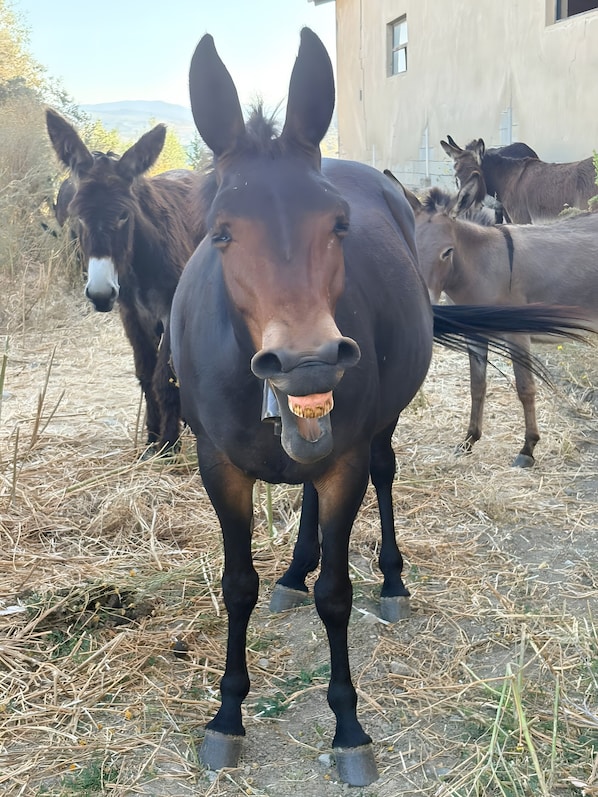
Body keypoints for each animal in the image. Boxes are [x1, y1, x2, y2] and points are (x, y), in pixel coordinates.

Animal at [46, 110, 207, 455]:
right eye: (77, 215)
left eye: (124, 215)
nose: (100, 293)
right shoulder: (131, 313)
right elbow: (145, 374)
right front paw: (151, 438)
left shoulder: (169, 310)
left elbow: (164, 377)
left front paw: (167, 447)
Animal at [391, 170, 598, 467]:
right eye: (411, 247)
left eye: (447, 252)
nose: (427, 308)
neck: (482, 266)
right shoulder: (474, 334)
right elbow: (477, 385)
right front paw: (468, 440)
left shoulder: (517, 334)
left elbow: (525, 388)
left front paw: (527, 449)